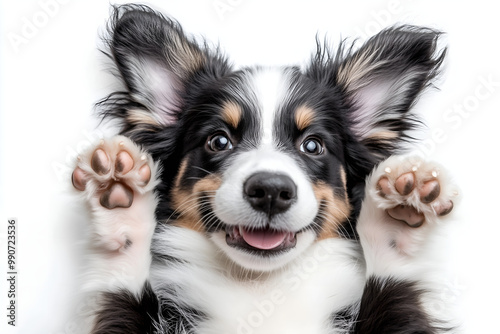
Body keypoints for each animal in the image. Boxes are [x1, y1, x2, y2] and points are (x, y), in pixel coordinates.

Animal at [72, 3, 458, 334]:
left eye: (313, 145)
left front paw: (396, 221)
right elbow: (124, 289)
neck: (259, 286)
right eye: (218, 141)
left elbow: (394, 287)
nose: (271, 191)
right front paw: (122, 208)